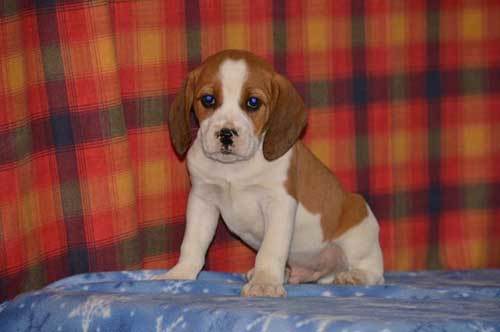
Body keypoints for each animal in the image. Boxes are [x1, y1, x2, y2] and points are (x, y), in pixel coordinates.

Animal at [154, 50, 384, 298]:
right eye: (208, 100)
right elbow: (193, 243)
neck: (234, 169)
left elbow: (270, 250)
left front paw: (264, 283)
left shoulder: (279, 204)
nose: (226, 134)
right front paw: (179, 274)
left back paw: (355, 276)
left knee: (375, 272)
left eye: (253, 102)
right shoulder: (202, 201)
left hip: (358, 229)